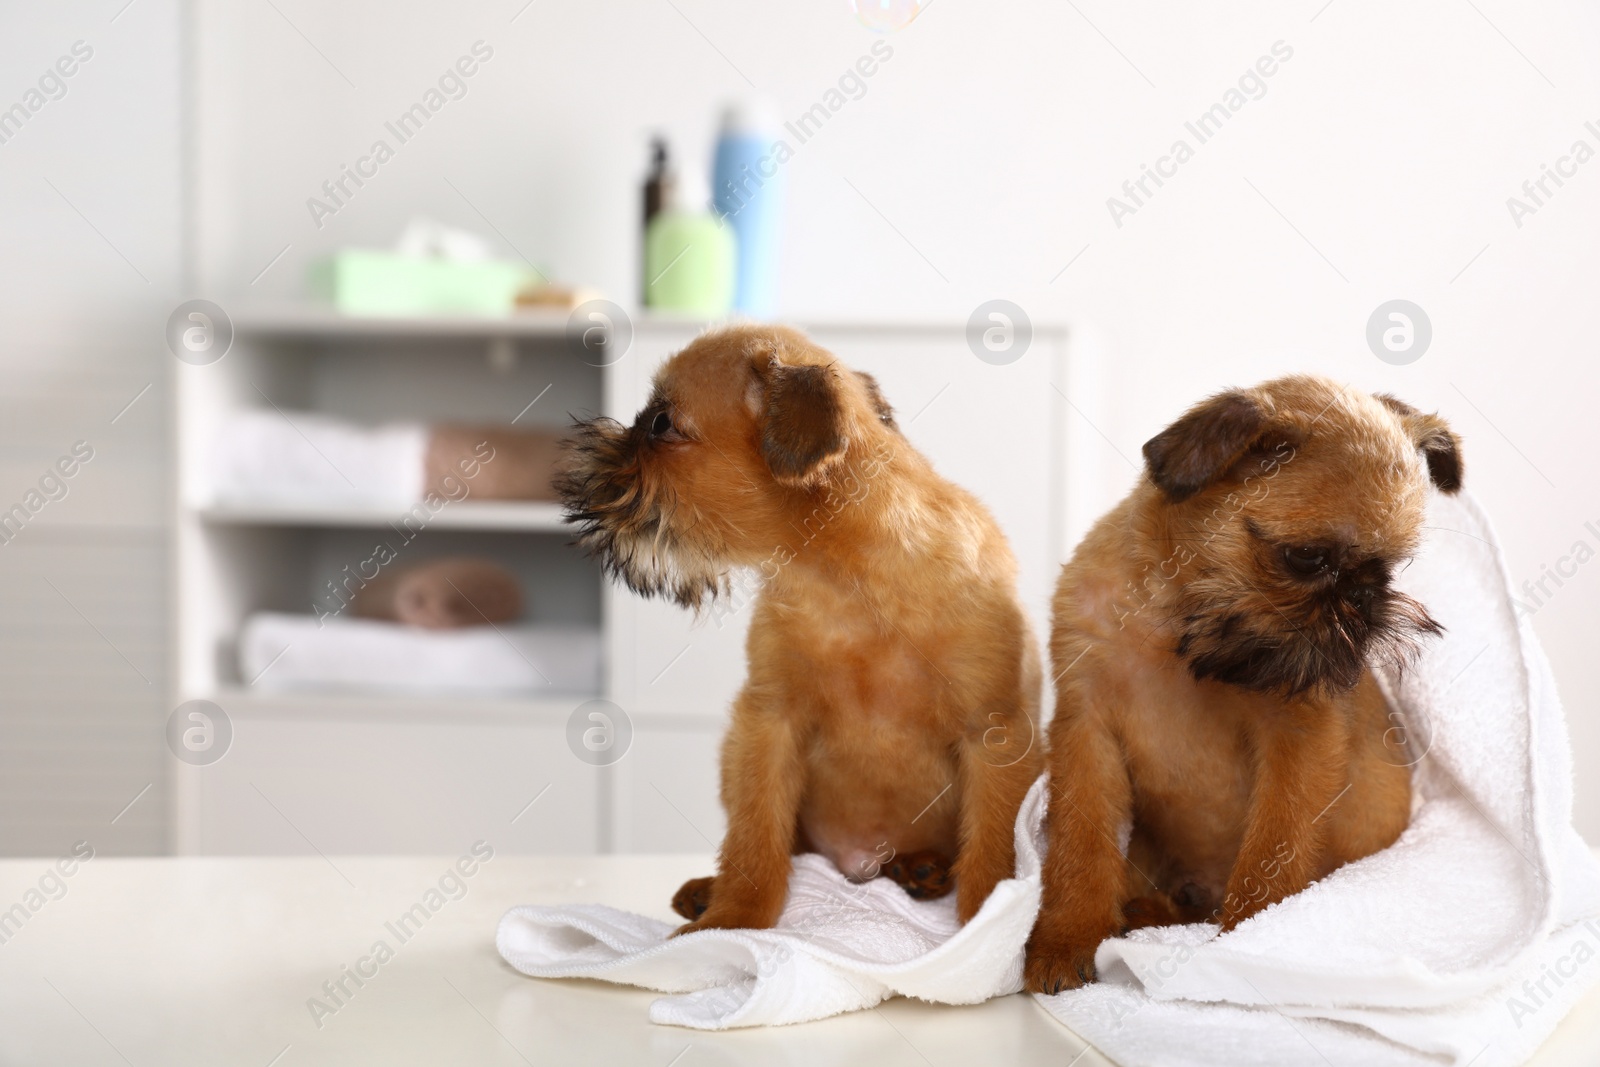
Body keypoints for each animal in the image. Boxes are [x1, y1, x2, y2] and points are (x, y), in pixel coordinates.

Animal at [556, 323, 1043, 927]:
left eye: (661, 424)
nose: (590, 449)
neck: (846, 583)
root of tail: (862, 863)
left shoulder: (995, 735)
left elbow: (993, 852)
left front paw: (987, 927)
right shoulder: (767, 726)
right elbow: (755, 838)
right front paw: (732, 919)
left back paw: (923, 868)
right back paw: (707, 890)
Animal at [1024, 375, 1465, 991]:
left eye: (1388, 569)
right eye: (1306, 558)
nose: (1363, 597)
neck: (1175, 631)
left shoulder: (1298, 742)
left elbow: (1272, 853)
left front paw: (1245, 946)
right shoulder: (1084, 734)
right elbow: (1079, 848)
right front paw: (1065, 939)